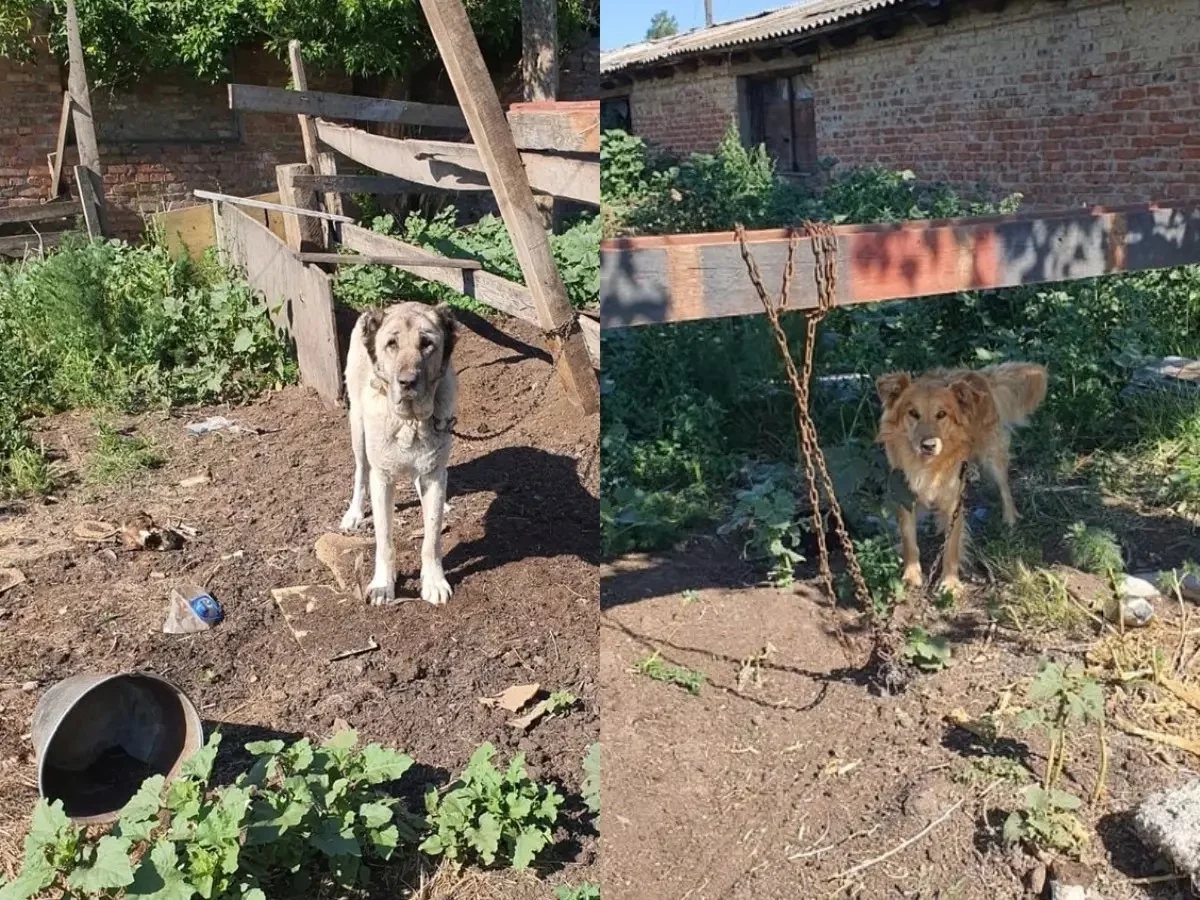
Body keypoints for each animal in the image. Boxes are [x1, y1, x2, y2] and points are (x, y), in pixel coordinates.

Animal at [340, 303, 456, 607]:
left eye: (427, 343)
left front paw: (434, 582)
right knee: (361, 472)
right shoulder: (383, 480)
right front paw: (383, 585)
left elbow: (432, 537)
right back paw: (354, 513)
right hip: (357, 428)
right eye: (391, 344)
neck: (410, 421)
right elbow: (384, 540)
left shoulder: (434, 474)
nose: (407, 382)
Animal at [873, 362, 1051, 595]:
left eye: (941, 414)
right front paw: (911, 574)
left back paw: (1010, 519)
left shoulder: (954, 502)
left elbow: (951, 547)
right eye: (912, 413)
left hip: (993, 455)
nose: (928, 445)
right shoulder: (904, 495)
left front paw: (950, 582)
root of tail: (977, 374)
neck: (927, 465)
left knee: (1004, 487)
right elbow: (908, 539)